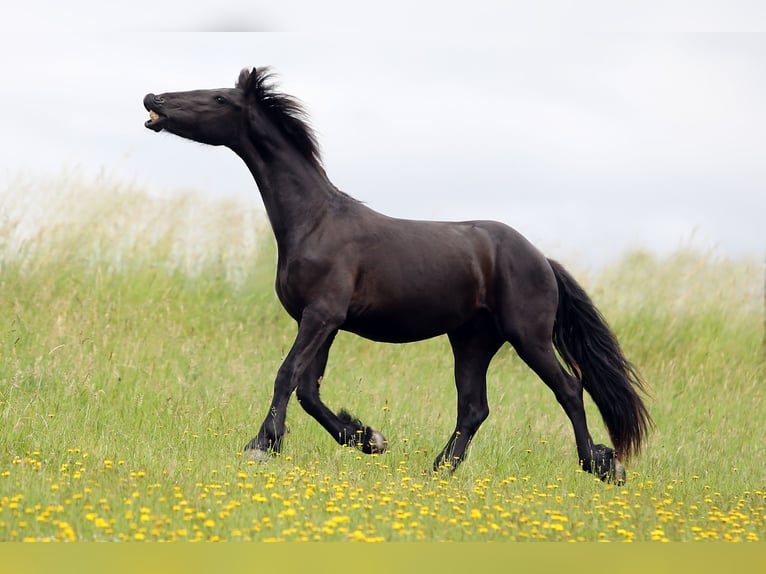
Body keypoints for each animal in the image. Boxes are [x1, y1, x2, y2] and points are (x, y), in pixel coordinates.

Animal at [144, 67, 651, 482]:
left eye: (218, 99)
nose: (153, 99)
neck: (313, 221)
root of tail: (542, 258)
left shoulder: (321, 315)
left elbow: (286, 376)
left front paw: (261, 446)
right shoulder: (322, 322)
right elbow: (308, 390)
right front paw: (368, 438)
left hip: (528, 336)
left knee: (568, 389)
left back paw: (601, 466)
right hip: (472, 339)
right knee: (474, 408)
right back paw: (437, 470)